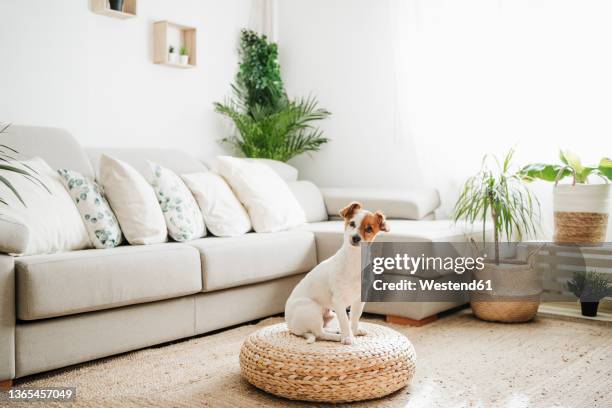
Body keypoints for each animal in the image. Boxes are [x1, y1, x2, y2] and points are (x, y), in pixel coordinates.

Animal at [286, 201, 390, 344]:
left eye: (369, 229)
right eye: (352, 223)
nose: (355, 238)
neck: (354, 260)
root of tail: (290, 327)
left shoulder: (359, 299)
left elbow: (355, 317)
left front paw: (354, 331)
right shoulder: (339, 301)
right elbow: (345, 321)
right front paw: (348, 338)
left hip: (330, 314)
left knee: (323, 330)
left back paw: (336, 331)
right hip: (312, 309)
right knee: (319, 334)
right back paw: (338, 337)